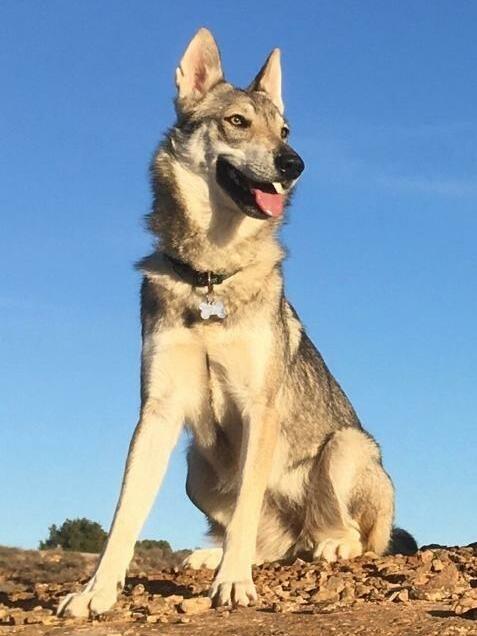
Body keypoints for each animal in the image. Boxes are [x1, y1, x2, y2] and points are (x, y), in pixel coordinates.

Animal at [58, 28, 416, 616]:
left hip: (344, 447)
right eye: (237, 121)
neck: (210, 279)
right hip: (194, 470)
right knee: (272, 545)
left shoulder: (257, 408)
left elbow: (246, 507)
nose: (294, 163)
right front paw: (95, 592)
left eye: (285, 130)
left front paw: (233, 584)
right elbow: (124, 516)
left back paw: (328, 545)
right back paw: (216, 555)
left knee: (350, 538)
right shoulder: (157, 412)